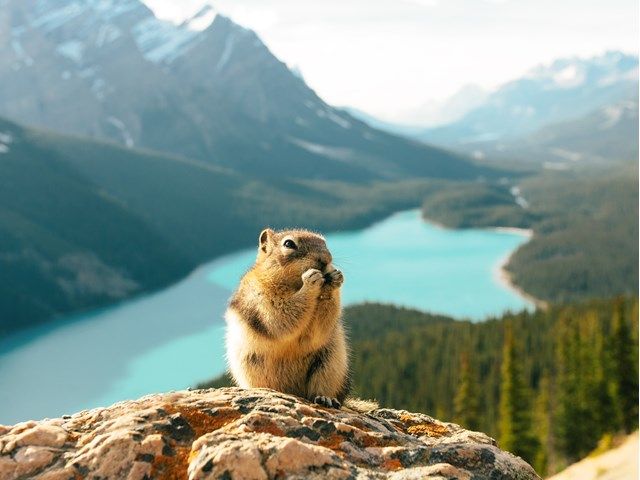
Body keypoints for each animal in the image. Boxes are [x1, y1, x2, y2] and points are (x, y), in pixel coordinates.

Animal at [225, 227, 350, 406]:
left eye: (325, 242)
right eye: (289, 244)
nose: (326, 260)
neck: (294, 285)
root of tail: (293, 392)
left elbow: (319, 330)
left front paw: (335, 277)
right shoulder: (261, 297)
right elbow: (281, 317)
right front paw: (311, 280)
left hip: (330, 364)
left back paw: (326, 399)